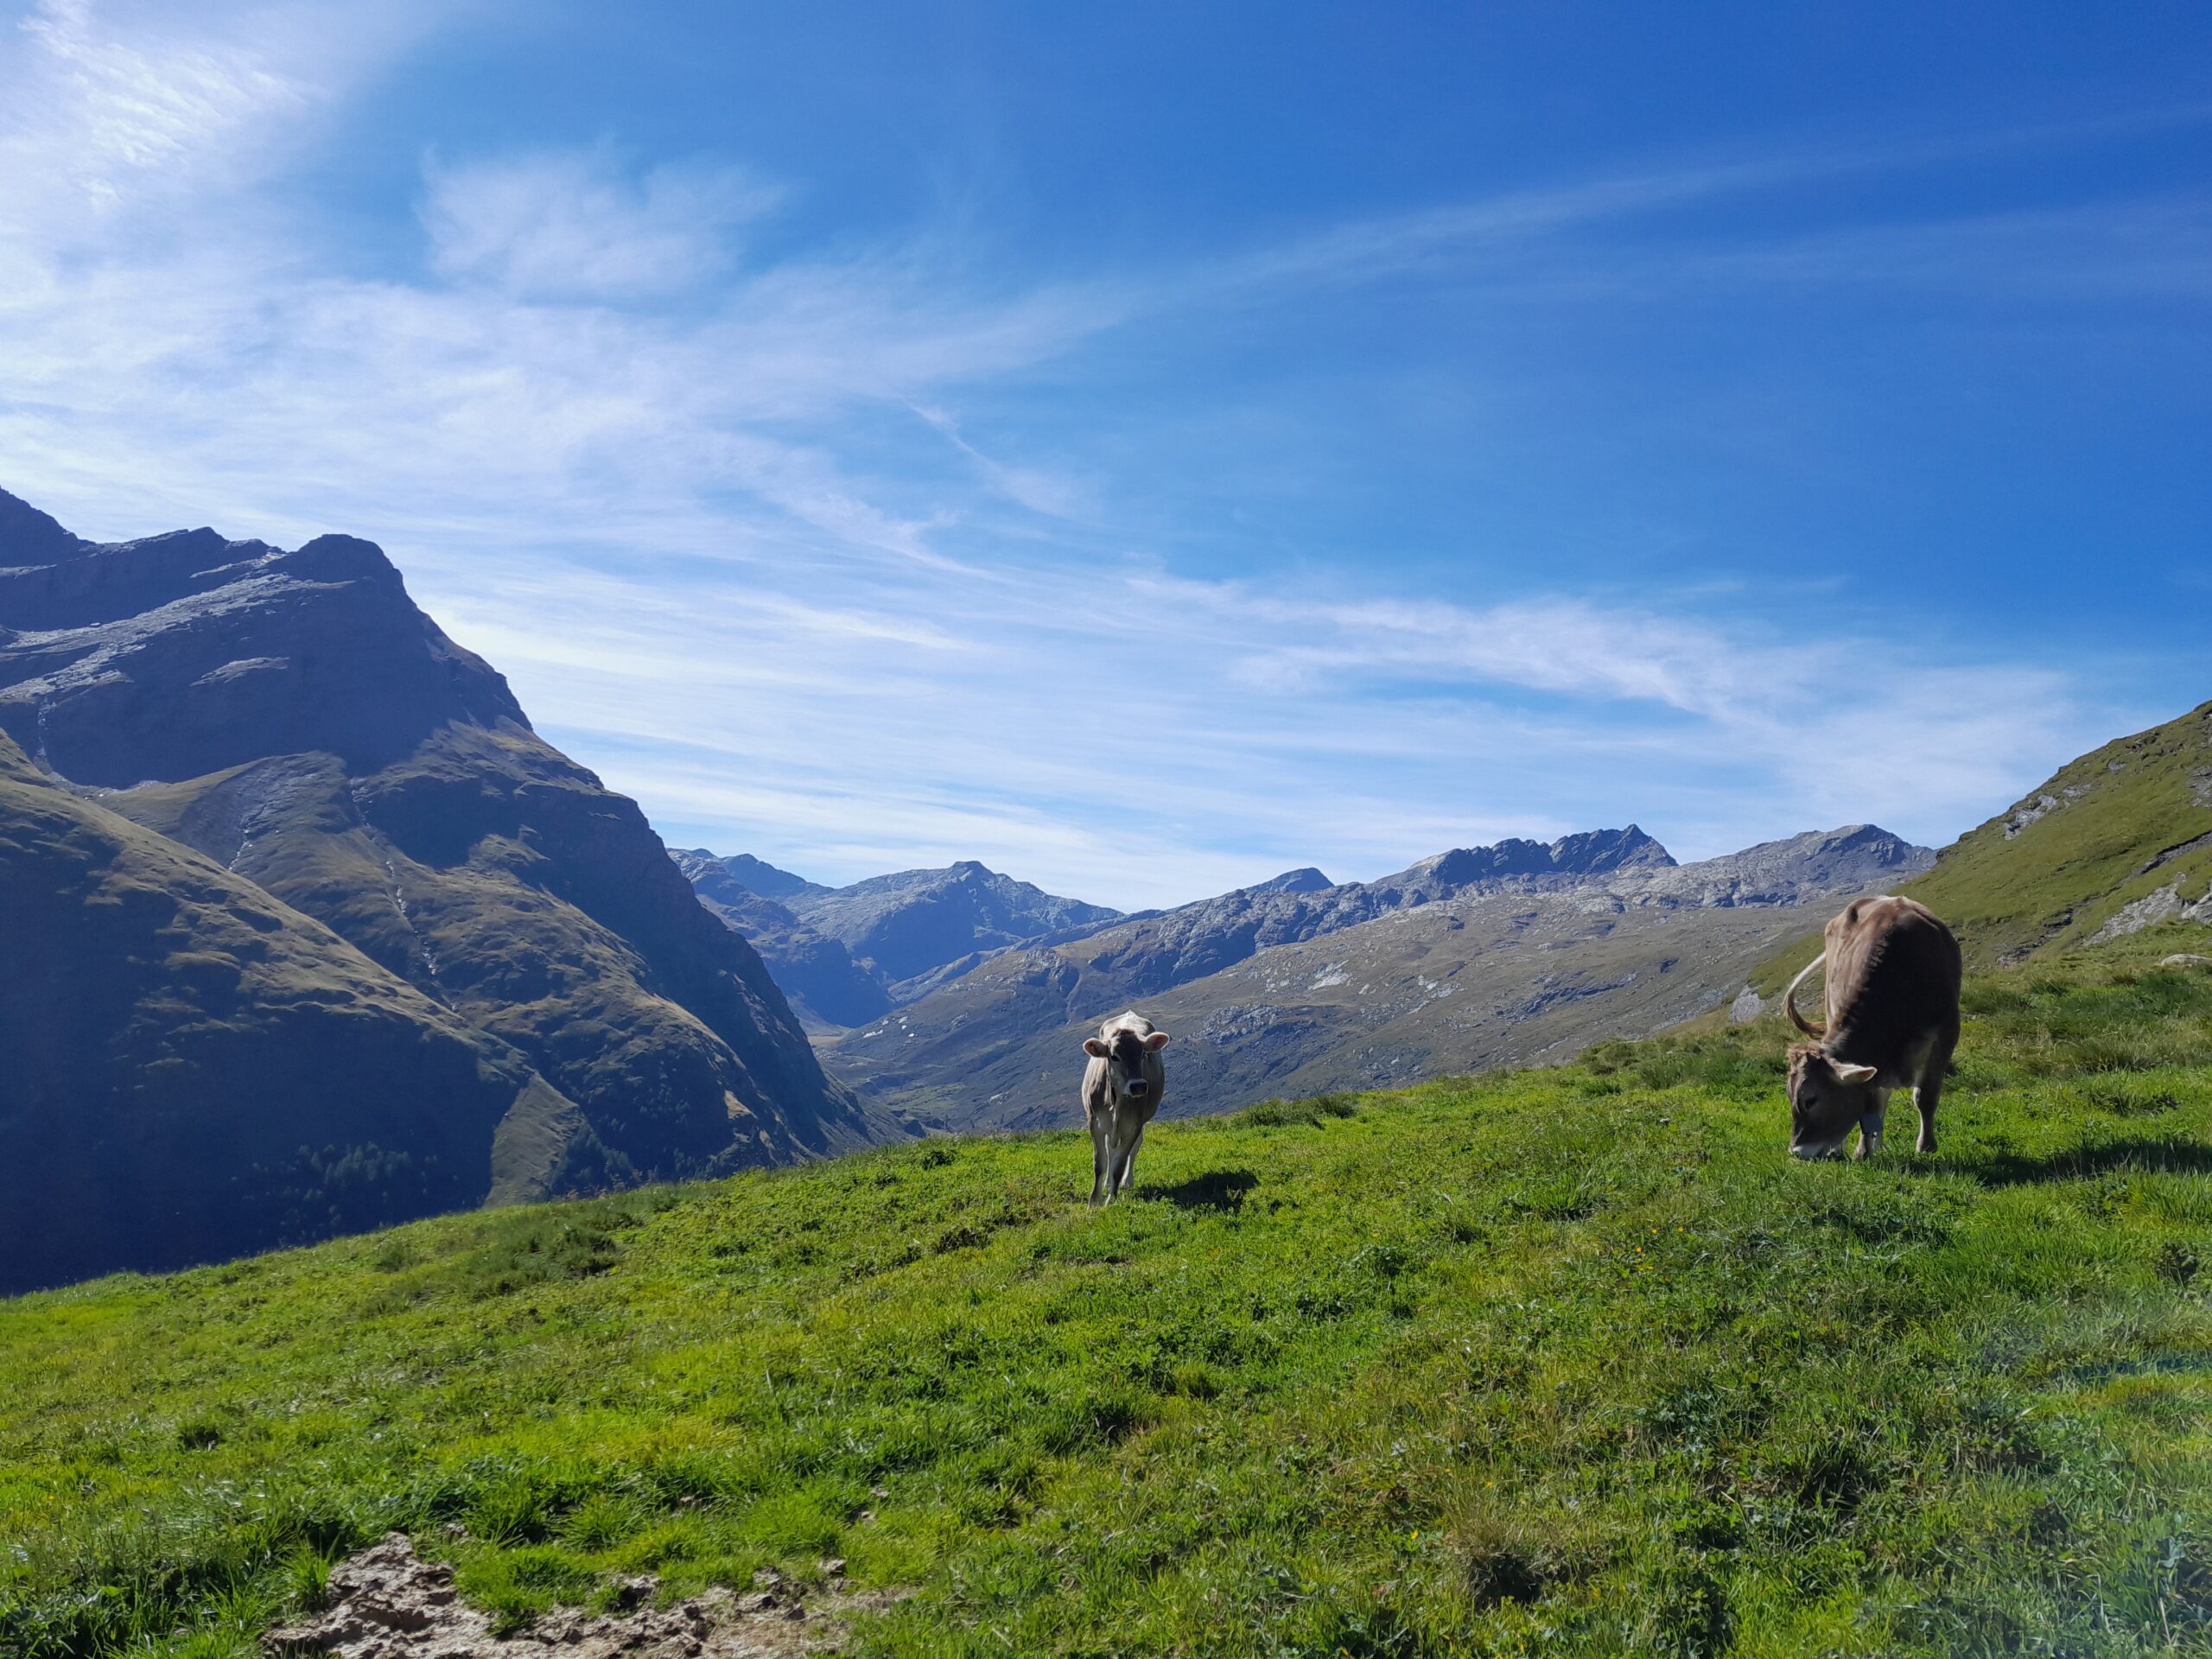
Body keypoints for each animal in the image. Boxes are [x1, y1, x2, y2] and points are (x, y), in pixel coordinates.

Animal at [1081, 1011, 1170, 1204]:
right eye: (1114, 1056)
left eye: (1143, 1054)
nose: (1138, 1086)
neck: (1117, 1101)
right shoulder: (1094, 1122)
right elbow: (1100, 1162)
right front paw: (1094, 1201)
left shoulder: (1133, 1126)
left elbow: (1119, 1165)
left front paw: (1110, 1201)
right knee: (1110, 1149)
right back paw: (1107, 1183)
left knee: (1134, 1148)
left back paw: (1126, 1182)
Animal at [1783, 894, 1962, 1161]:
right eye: (1788, 1094)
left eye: (1811, 1100)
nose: (1796, 1152)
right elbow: (1872, 1101)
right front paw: (1863, 1151)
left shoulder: (1947, 1031)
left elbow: (1925, 1096)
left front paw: (1926, 1146)